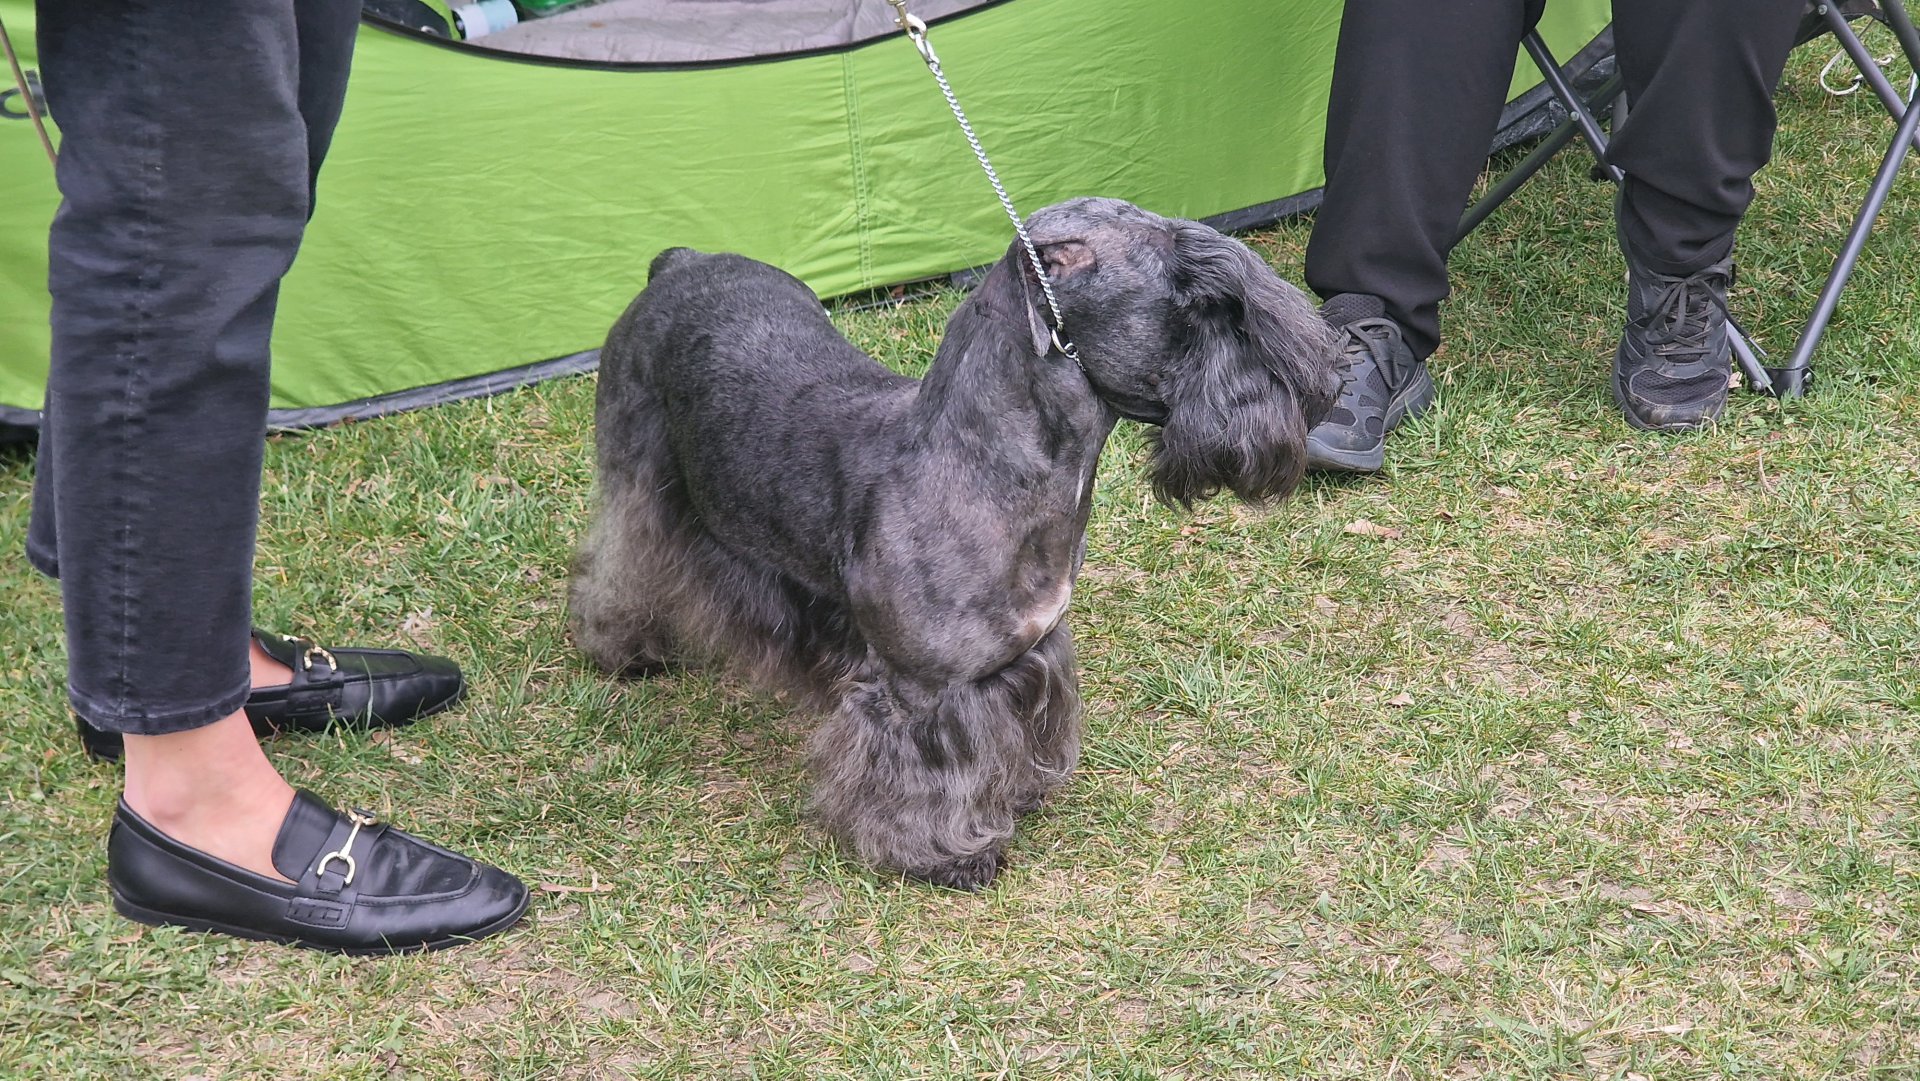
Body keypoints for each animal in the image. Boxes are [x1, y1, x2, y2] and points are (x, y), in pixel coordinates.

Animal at [569, 197, 1339, 889]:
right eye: (1201, 300)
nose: (1325, 383)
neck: (984, 463)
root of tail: (679, 262)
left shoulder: (1029, 656)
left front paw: (1023, 791)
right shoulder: (921, 693)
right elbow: (924, 781)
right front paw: (946, 855)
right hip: (637, 481)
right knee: (616, 564)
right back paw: (629, 651)